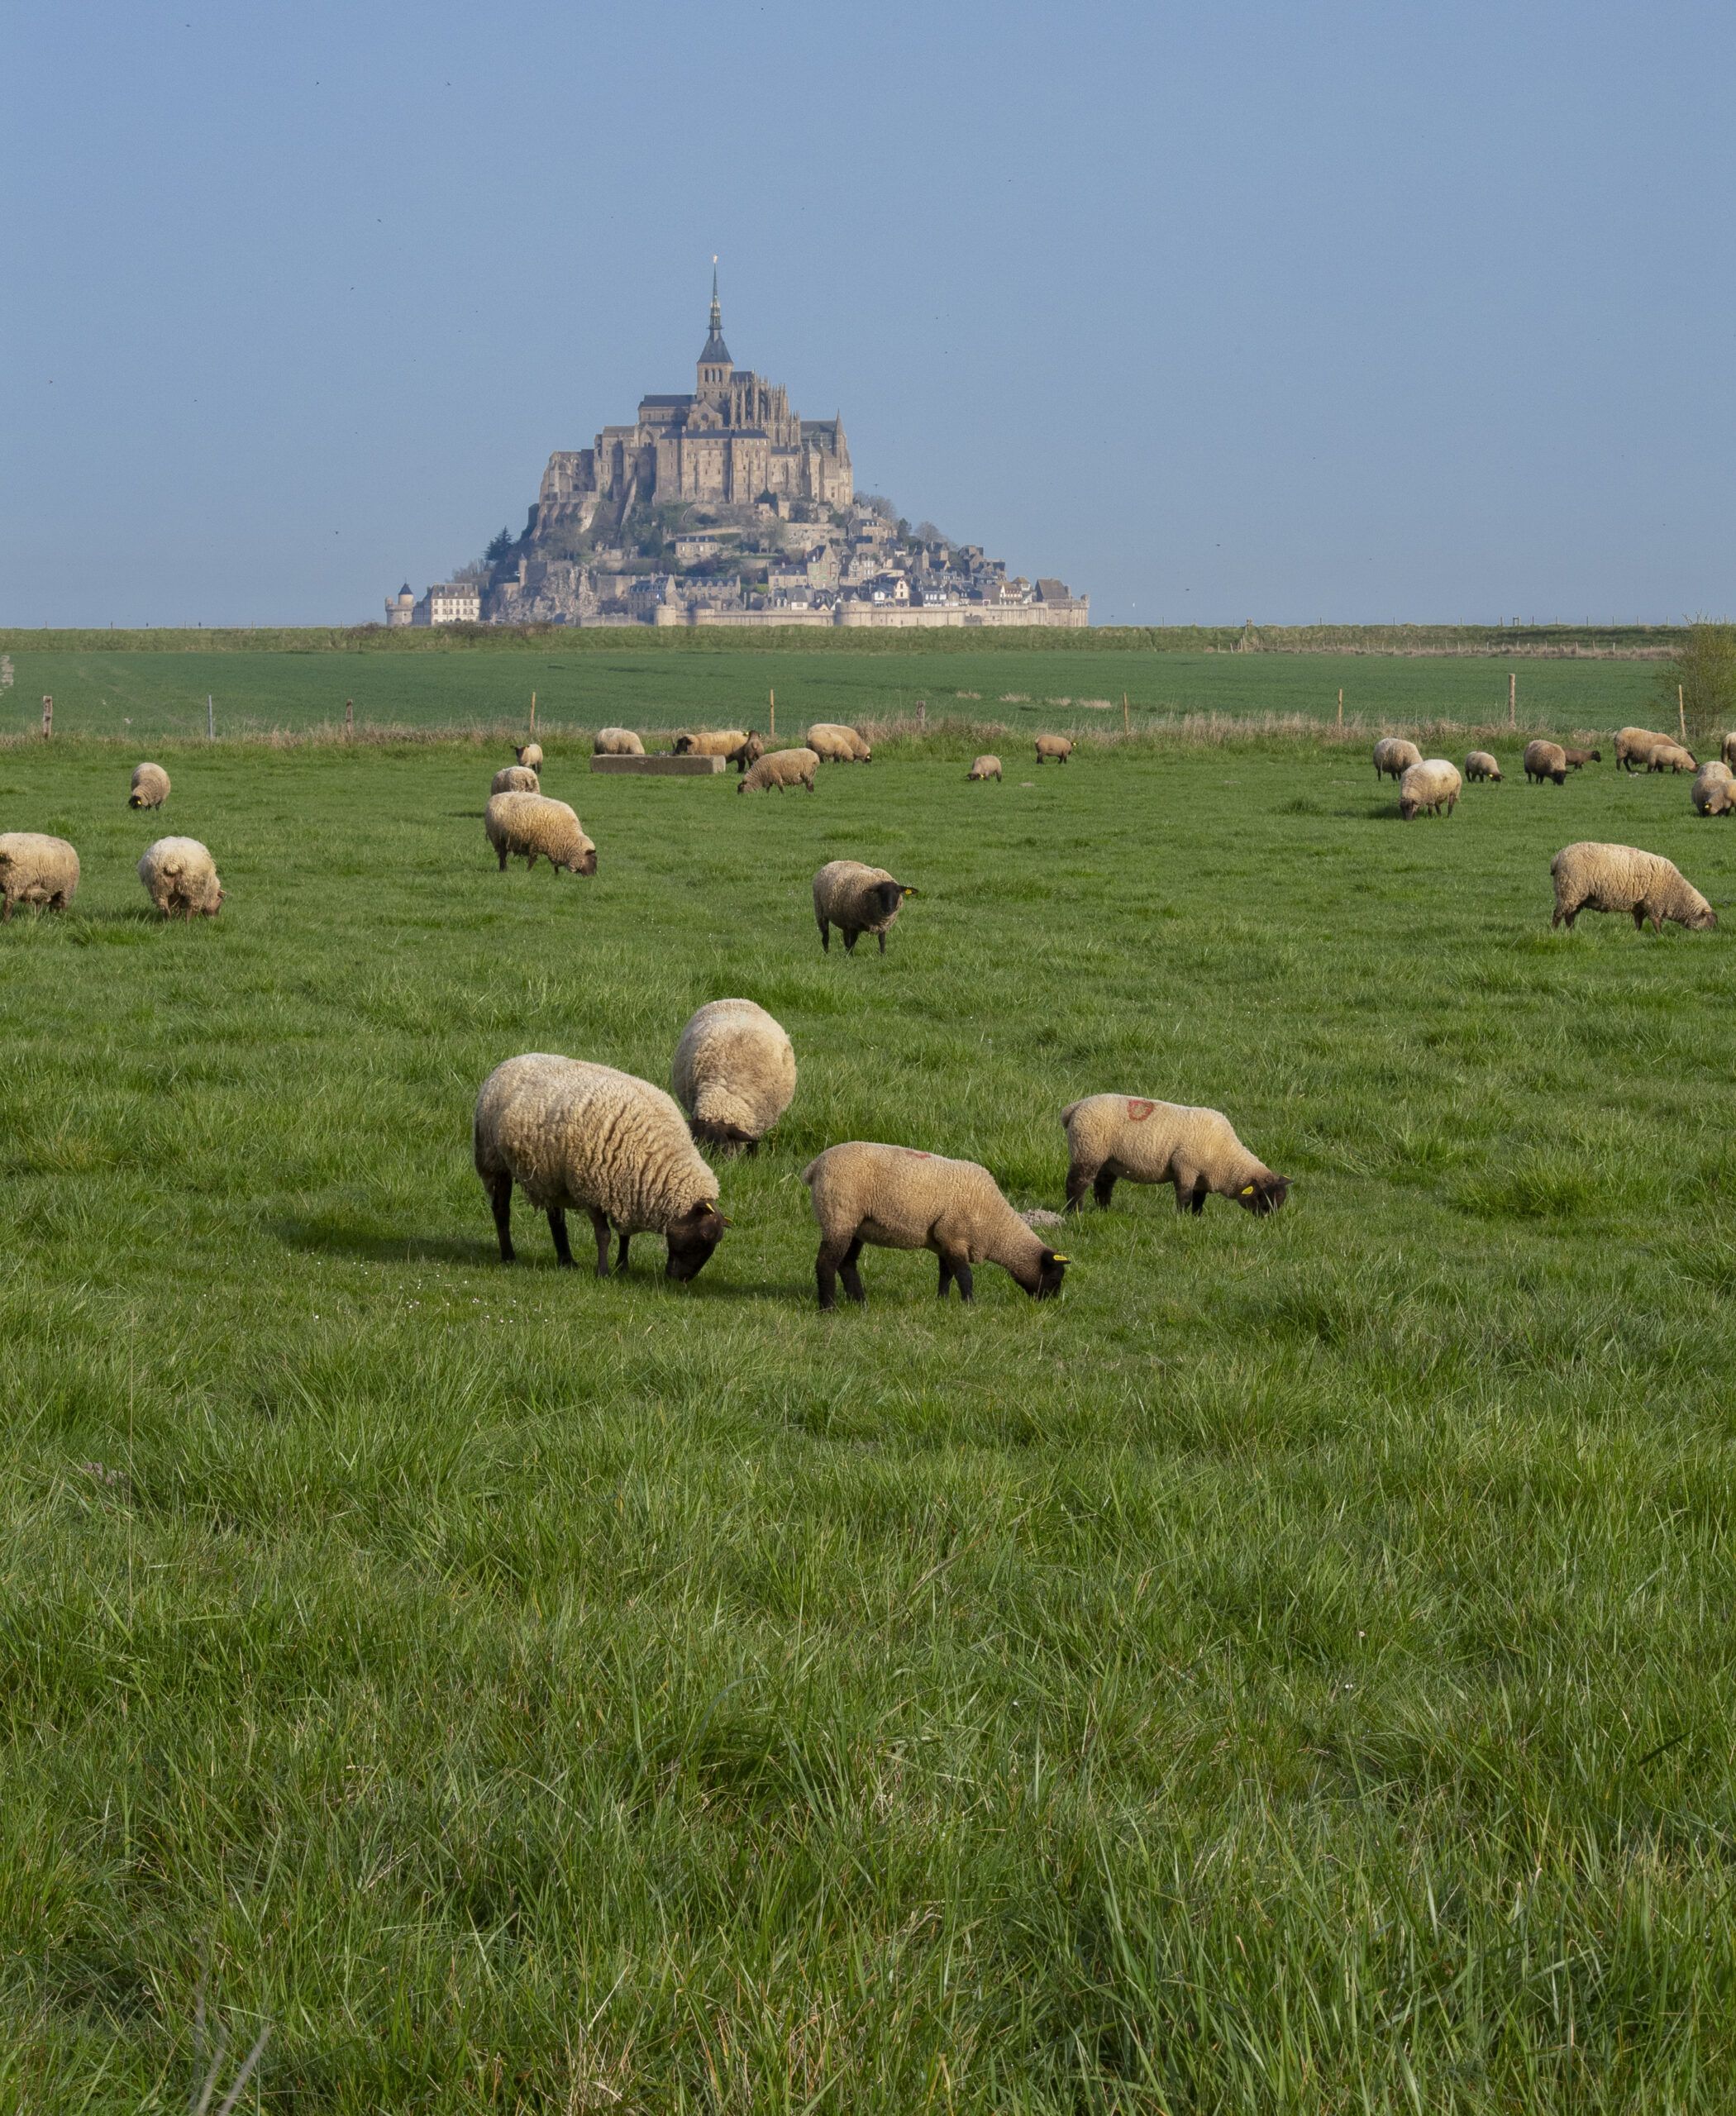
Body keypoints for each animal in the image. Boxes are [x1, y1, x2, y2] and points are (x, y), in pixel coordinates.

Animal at [474, 1054, 729, 1281]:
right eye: (703, 1236)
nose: (682, 1280)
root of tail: (509, 1062)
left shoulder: (627, 1192)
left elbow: (625, 1235)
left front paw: (622, 1267)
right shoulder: (593, 1191)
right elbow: (604, 1235)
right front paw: (604, 1273)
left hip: (552, 1175)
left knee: (556, 1217)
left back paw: (566, 1260)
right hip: (493, 1161)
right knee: (501, 1210)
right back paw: (509, 1256)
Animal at [484, 792, 597, 875]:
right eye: (593, 860)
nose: (592, 876)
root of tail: (493, 798)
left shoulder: (555, 846)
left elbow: (554, 864)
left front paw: (556, 875)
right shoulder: (536, 844)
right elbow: (532, 860)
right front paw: (528, 872)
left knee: (502, 855)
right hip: (499, 837)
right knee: (502, 855)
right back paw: (503, 870)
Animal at [802, 1141, 1067, 1309]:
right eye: (1055, 1277)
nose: (1050, 1303)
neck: (997, 1226)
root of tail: (815, 1165)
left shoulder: (945, 1241)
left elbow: (946, 1273)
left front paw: (943, 1301)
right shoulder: (955, 1236)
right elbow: (965, 1274)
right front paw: (970, 1305)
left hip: (856, 1224)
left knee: (847, 1264)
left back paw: (860, 1302)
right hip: (838, 1214)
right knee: (826, 1263)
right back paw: (828, 1307)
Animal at [1061, 1095, 1291, 1217]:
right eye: (1263, 1198)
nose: (1267, 1221)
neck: (1226, 1157)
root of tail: (1075, 1107)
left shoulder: (1202, 1176)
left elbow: (1199, 1199)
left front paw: (1197, 1218)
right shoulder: (1186, 1165)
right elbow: (1185, 1195)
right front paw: (1181, 1217)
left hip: (1108, 1159)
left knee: (1103, 1185)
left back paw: (1105, 1211)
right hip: (1088, 1149)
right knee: (1077, 1182)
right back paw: (1075, 1212)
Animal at [1549, 841, 1716, 932]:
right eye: (1710, 922)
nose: (1709, 936)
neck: (1676, 894)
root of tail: (1558, 858)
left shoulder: (1640, 905)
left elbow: (1638, 923)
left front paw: (1637, 934)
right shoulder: (1654, 903)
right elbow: (1657, 923)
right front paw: (1660, 936)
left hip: (1576, 894)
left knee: (1570, 915)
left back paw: (1571, 932)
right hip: (1569, 889)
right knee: (1558, 914)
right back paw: (1554, 932)